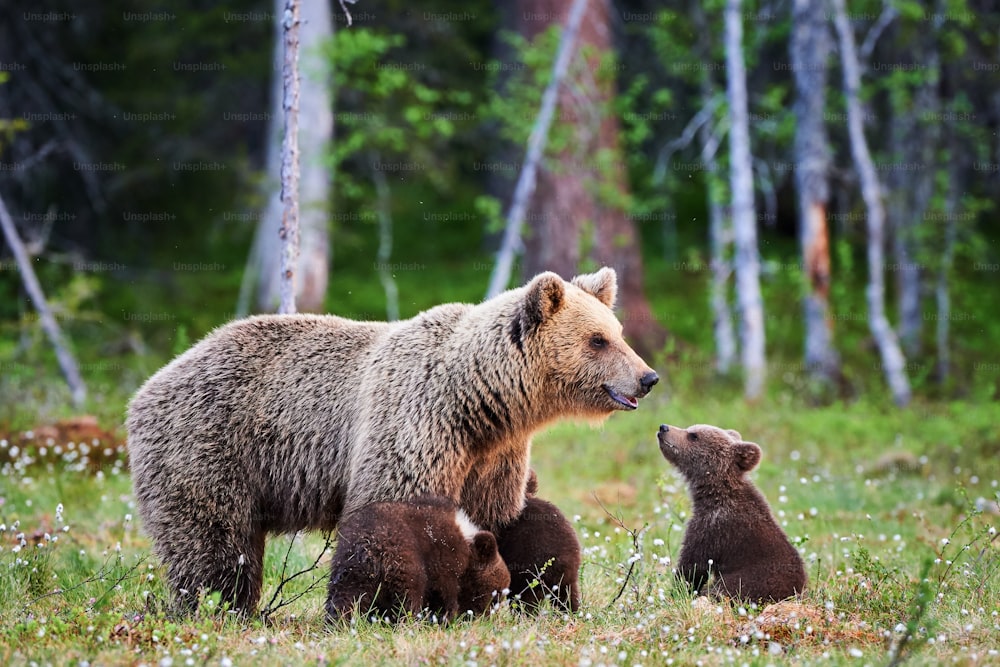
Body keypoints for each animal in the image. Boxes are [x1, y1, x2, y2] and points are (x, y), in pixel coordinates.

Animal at [127, 268, 656, 612]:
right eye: (597, 340)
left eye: (617, 331)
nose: (647, 378)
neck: (479, 399)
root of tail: (148, 386)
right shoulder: (416, 422)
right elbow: (392, 516)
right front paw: (382, 606)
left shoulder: (493, 454)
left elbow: (500, 517)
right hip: (208, 445)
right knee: (213, 542)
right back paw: (217, 606)